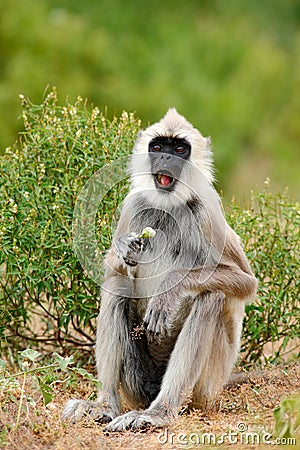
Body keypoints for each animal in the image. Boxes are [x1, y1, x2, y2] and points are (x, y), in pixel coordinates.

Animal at [63, 109, 258, 432]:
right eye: (158, 147)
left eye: (179, 149)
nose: (166, 158)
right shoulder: (133, 204)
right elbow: (111, 270)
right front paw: (125, 248)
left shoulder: (207, 210)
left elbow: (245, 281)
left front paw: (171, 289)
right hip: (136, 383)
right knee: (117, 285)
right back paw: (105, 405)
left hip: (207, 387)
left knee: (211, 296)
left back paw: (160, 412)